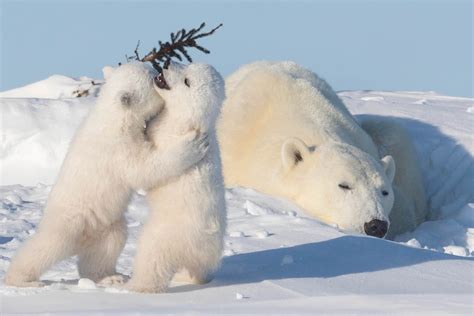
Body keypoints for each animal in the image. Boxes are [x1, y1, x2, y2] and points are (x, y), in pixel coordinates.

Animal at [3, 61, 207, 286]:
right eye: (151, 76)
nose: (160, 70)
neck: (112, 118)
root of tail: (81, 240)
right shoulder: (118, 148)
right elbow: (144, 169)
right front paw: (194, 144)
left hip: (105, 225)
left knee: (109, 245)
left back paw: (111, 277)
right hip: (68, 223)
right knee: (45, 246)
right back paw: (22, 279)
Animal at [125, 62, 227, 294]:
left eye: (187, 81)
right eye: (188, 64)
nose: (167, 63)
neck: (188, 121)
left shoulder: (168, 135)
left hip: (167, 236)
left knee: (152, 257)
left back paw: (137, 286)